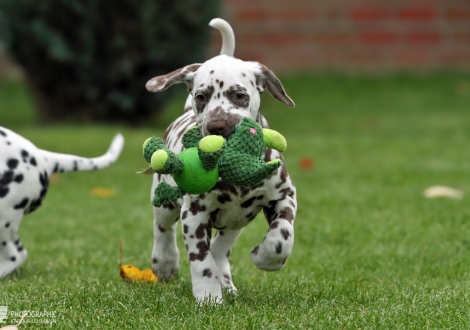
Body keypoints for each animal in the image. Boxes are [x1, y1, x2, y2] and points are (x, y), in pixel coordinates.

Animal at [145, 17, 296, 302]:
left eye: (239, 95)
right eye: (201, 97)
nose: (217, 126)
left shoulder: (283, 196)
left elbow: (282, 238)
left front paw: (265, 258)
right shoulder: (194, 214)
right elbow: (201, 261)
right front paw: (208, 295)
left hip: (237, 221)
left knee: (220, 247)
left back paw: (226, 281)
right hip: (165, 199)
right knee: (162, 229)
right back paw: (165, 263)